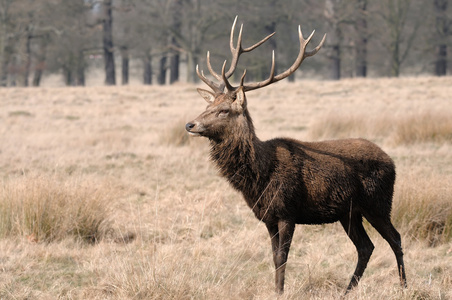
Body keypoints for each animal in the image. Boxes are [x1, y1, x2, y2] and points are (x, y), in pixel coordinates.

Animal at [185, 15, 408, 292]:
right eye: (208, 105)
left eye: (224, 110)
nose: (190, 124)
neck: (259, 175)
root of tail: (391, 161)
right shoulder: (267, 217)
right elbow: (273, 257)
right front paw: (275, 290)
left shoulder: (287, 211)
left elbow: (282, 256)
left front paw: (280, 292)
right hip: (350, 212)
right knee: (366, 246)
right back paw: (347, 291)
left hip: (378, 202)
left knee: (395, 238)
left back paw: (404, 286)